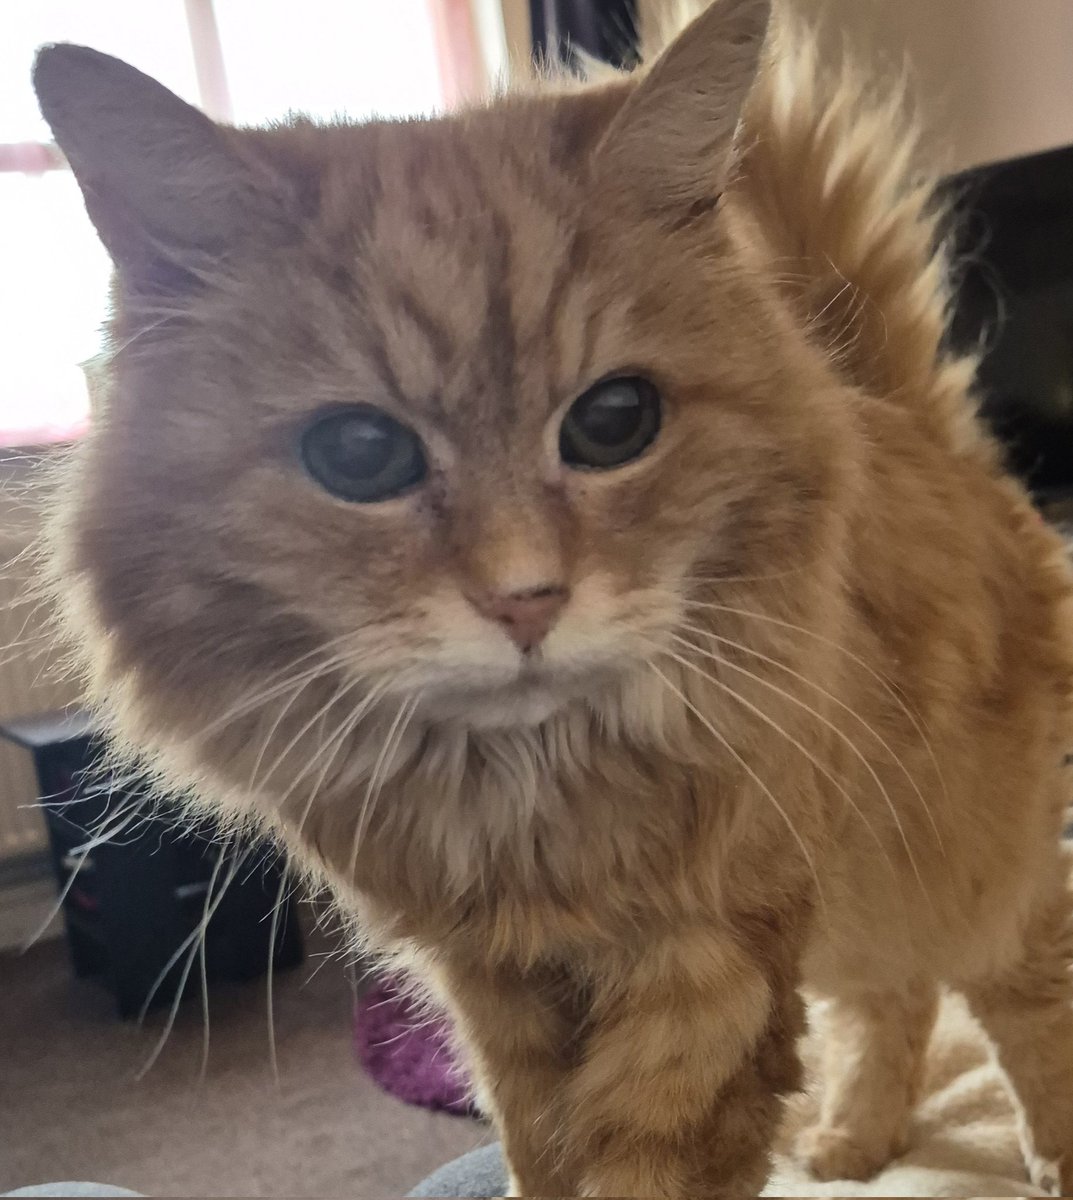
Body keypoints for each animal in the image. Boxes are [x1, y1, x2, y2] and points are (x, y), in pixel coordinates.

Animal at [29, 0, 1073, 1195]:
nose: (525, 599)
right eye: (357, 455)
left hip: (960, 868)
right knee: (890, 998)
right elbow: (540, 1154)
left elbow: (647, 1162)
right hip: (862, 897)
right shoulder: (500, 991)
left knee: (1024, 992)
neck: (532, 799)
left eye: (614, 421)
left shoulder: (705, 969)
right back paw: (852, 1140)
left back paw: (1043, 1154)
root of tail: (910, 420)